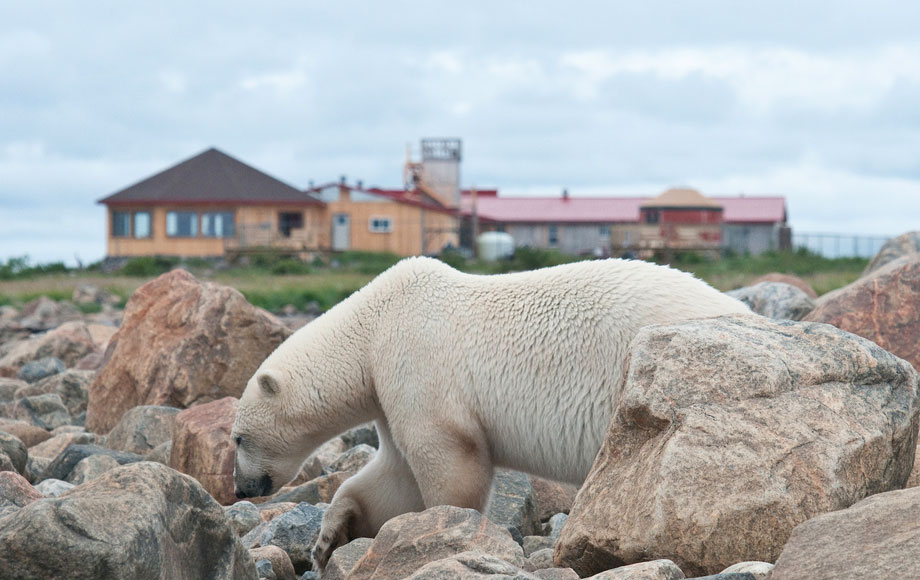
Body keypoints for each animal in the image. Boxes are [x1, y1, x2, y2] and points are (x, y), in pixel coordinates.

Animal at [228, 258, 748, 572]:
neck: (372, 328)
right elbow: (393, 477)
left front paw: (441, 531)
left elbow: (448, 460)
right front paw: (328, 540)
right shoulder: (389, 392)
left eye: (236, 439)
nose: (241, 489)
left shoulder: (416, 363)